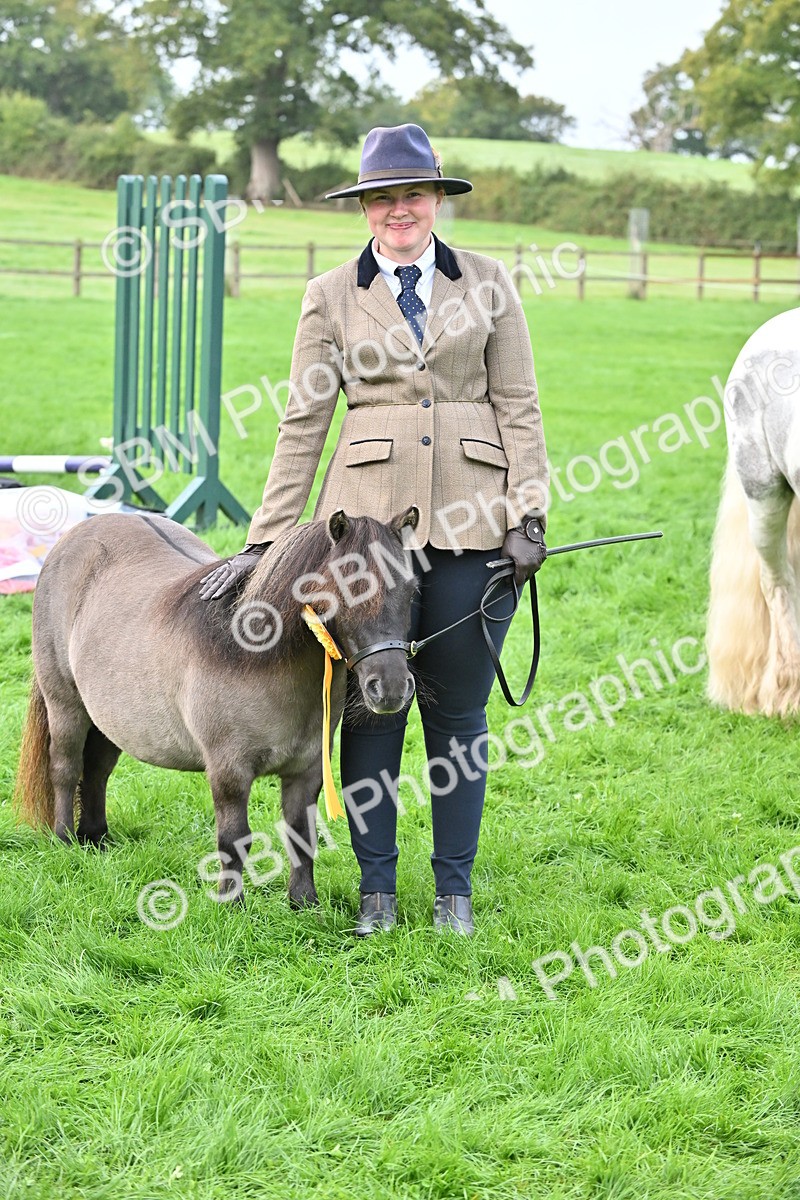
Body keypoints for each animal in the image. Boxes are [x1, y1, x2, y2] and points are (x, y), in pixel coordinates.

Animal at [14, 506, 419, 904]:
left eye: (412, 590)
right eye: (347, 587)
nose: (391, 688)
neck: (258, 657)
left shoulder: (306, 770)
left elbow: (301, 835)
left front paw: (304, 903)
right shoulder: (228, 769)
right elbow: (234, 839)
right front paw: (230, 902)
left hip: (108, 719)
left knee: (96, 770)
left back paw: (96, 838)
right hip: (65, 704)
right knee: (65, 768)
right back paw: (65, 840)